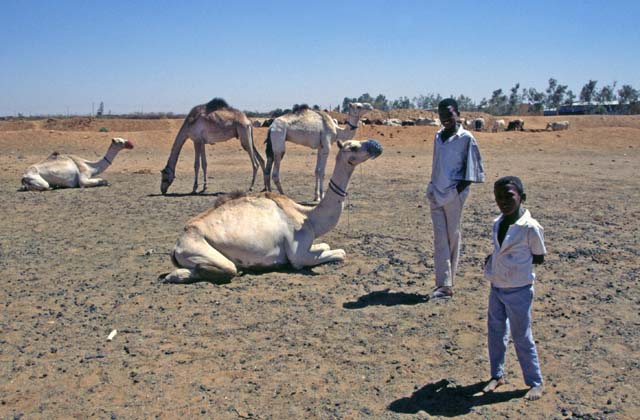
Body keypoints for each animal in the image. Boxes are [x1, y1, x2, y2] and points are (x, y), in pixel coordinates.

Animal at [160, 138, 383, 284]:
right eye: (353, 146)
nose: (376, 145)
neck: (307, 217)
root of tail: (177, 245)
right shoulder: (298, 256)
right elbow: (340, 253)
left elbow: (326, 245)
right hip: (198, 249)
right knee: (225, 268)